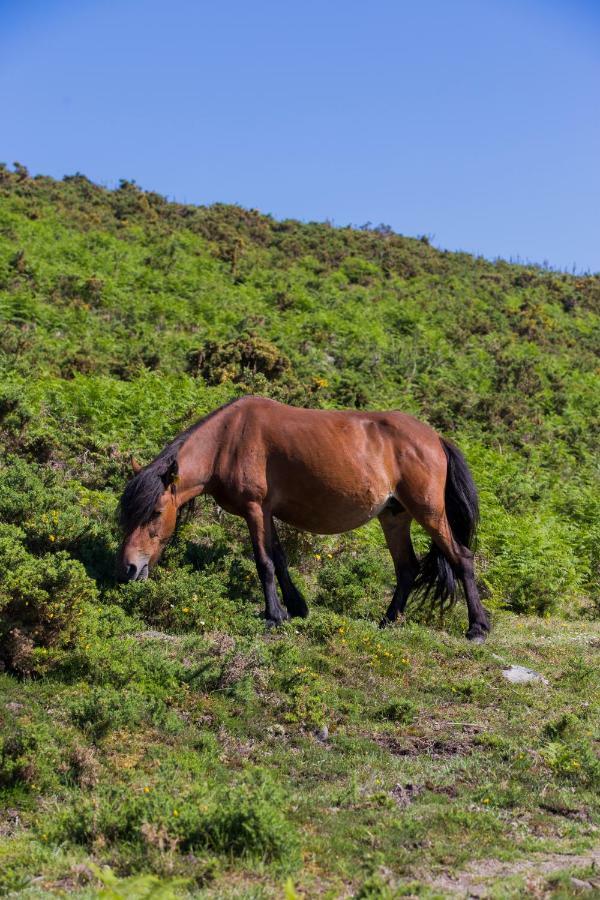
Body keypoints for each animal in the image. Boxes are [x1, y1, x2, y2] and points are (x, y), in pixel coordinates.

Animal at [119, 396, 490, 640]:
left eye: (154, 513)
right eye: (126, 515)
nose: (129, 569)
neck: (229, 439)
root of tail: (434, 438)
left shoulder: (254, 509)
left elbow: (264, 563)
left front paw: (273, 616)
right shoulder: (266, 512)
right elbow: (280, 560)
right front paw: (295, 608)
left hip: (428, 512)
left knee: (461, 558)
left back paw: (477, 627)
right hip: (394, 517)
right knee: (407, 568)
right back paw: (388, 621)